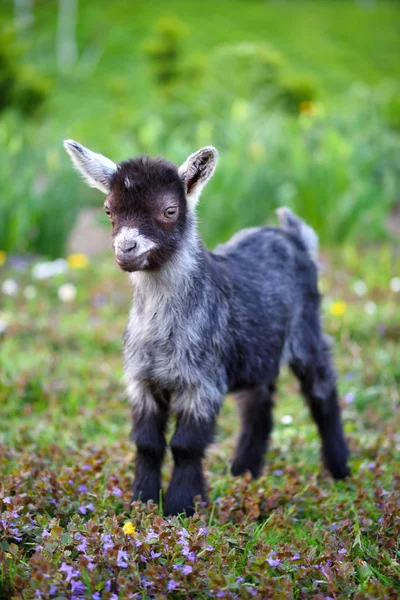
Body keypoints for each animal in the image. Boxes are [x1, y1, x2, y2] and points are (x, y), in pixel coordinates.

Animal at [64, 141, 348, 516]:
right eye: (109, 210)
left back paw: (339, 469)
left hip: (307, 329)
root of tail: (292, 234)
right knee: (258, 405)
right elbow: (147, 443)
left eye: (170, 210)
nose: (126, 249)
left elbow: (186, 445)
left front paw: (181, 506)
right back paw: (243, 472)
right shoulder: (142, 380)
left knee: (322, 390)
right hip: (256, 352)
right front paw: (142, 501)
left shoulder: (201, 382)